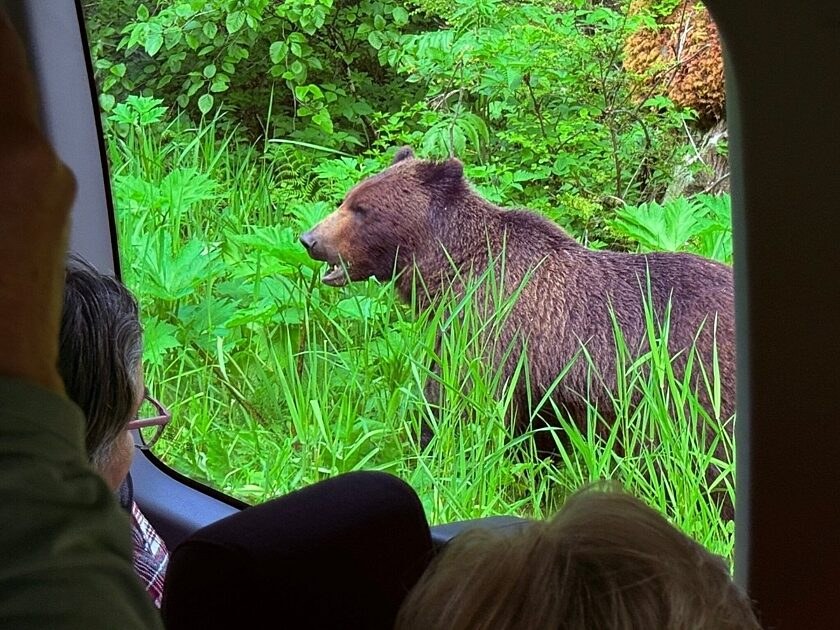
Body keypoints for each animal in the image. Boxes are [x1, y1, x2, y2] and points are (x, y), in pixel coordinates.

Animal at [299, 147, 735, 462]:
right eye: (347, 199)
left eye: (362, 209)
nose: (310, 239)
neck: (447, 271)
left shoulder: (491, 326)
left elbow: (460, 400)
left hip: (700, 378)